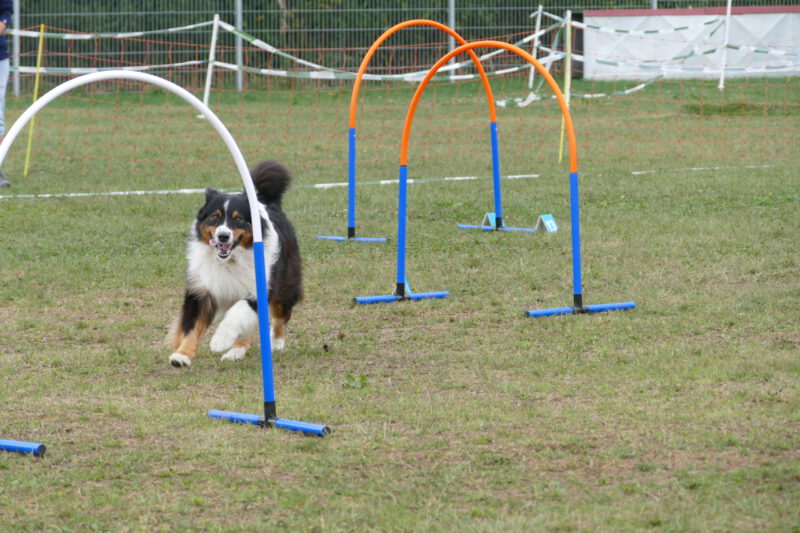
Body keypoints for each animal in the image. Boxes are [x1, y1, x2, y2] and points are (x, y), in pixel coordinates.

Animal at [168, 160, 302, 368]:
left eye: (238, 218)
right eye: (214, 216)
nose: (223, 236)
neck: (229, 260)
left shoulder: (258, 288)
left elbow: (237, 313)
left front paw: (219, 340)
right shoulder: (202, 290)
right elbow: (192, 327)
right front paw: (181, 355)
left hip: (286, 282)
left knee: (281, 314)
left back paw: (274, 343)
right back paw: (235, 352)